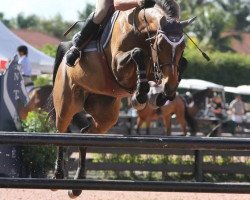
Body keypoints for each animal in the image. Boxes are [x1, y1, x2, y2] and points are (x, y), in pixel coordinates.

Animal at [51, 0, 194, 197]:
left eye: (182, 47)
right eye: (160, 45)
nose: (170, 87)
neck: (140, 30)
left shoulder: (156, 69)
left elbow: (182, 63)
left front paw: (159, 96)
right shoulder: (118, 66)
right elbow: (137, 53)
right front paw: (141, 94)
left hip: (106, 115)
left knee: (85, 135)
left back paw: (77, 185)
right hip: (67, 104)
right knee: (62, 132)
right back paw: (58, 176)